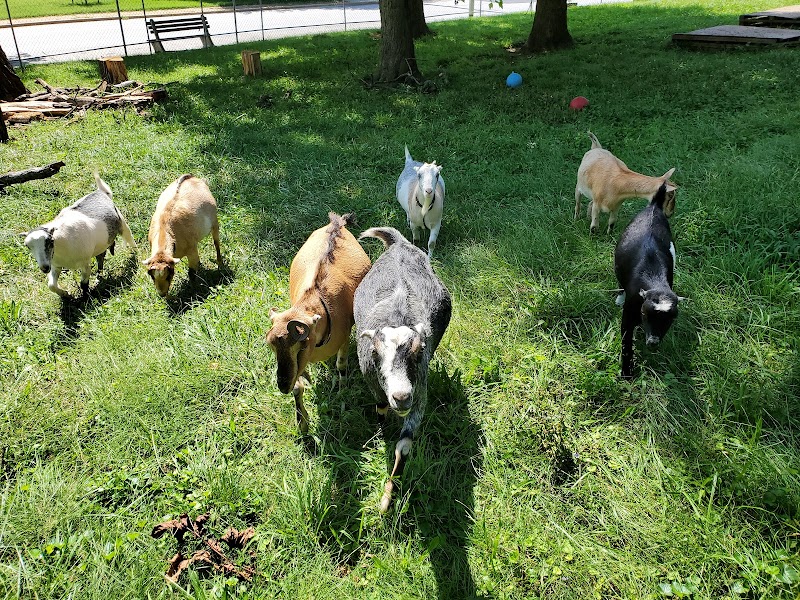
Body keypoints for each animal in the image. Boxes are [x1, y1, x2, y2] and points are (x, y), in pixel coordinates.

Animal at [266, 213, 371, 434]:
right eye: (272, 347)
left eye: (301, 345)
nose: (282, 386)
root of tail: (336, 223)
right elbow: (298, 386)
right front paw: (302, 423)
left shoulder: (343, 337)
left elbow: (341, 365)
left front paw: (341, 391)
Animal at [354, 227, 451, 512]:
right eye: (375, 353)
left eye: (419, 352)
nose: (401, 396)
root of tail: (399, 243)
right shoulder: (375, 386)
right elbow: (380, 409)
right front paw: (380, 434)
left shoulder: (420, 393)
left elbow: (405, 446)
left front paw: (388, 498)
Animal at [614, 184, 684, 379]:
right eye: (644, 314)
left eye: (671, 318)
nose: (653, 342)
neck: (654, 279)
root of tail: (654, 206)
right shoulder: (628, 317)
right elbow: (626, 344)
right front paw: (627, 373)